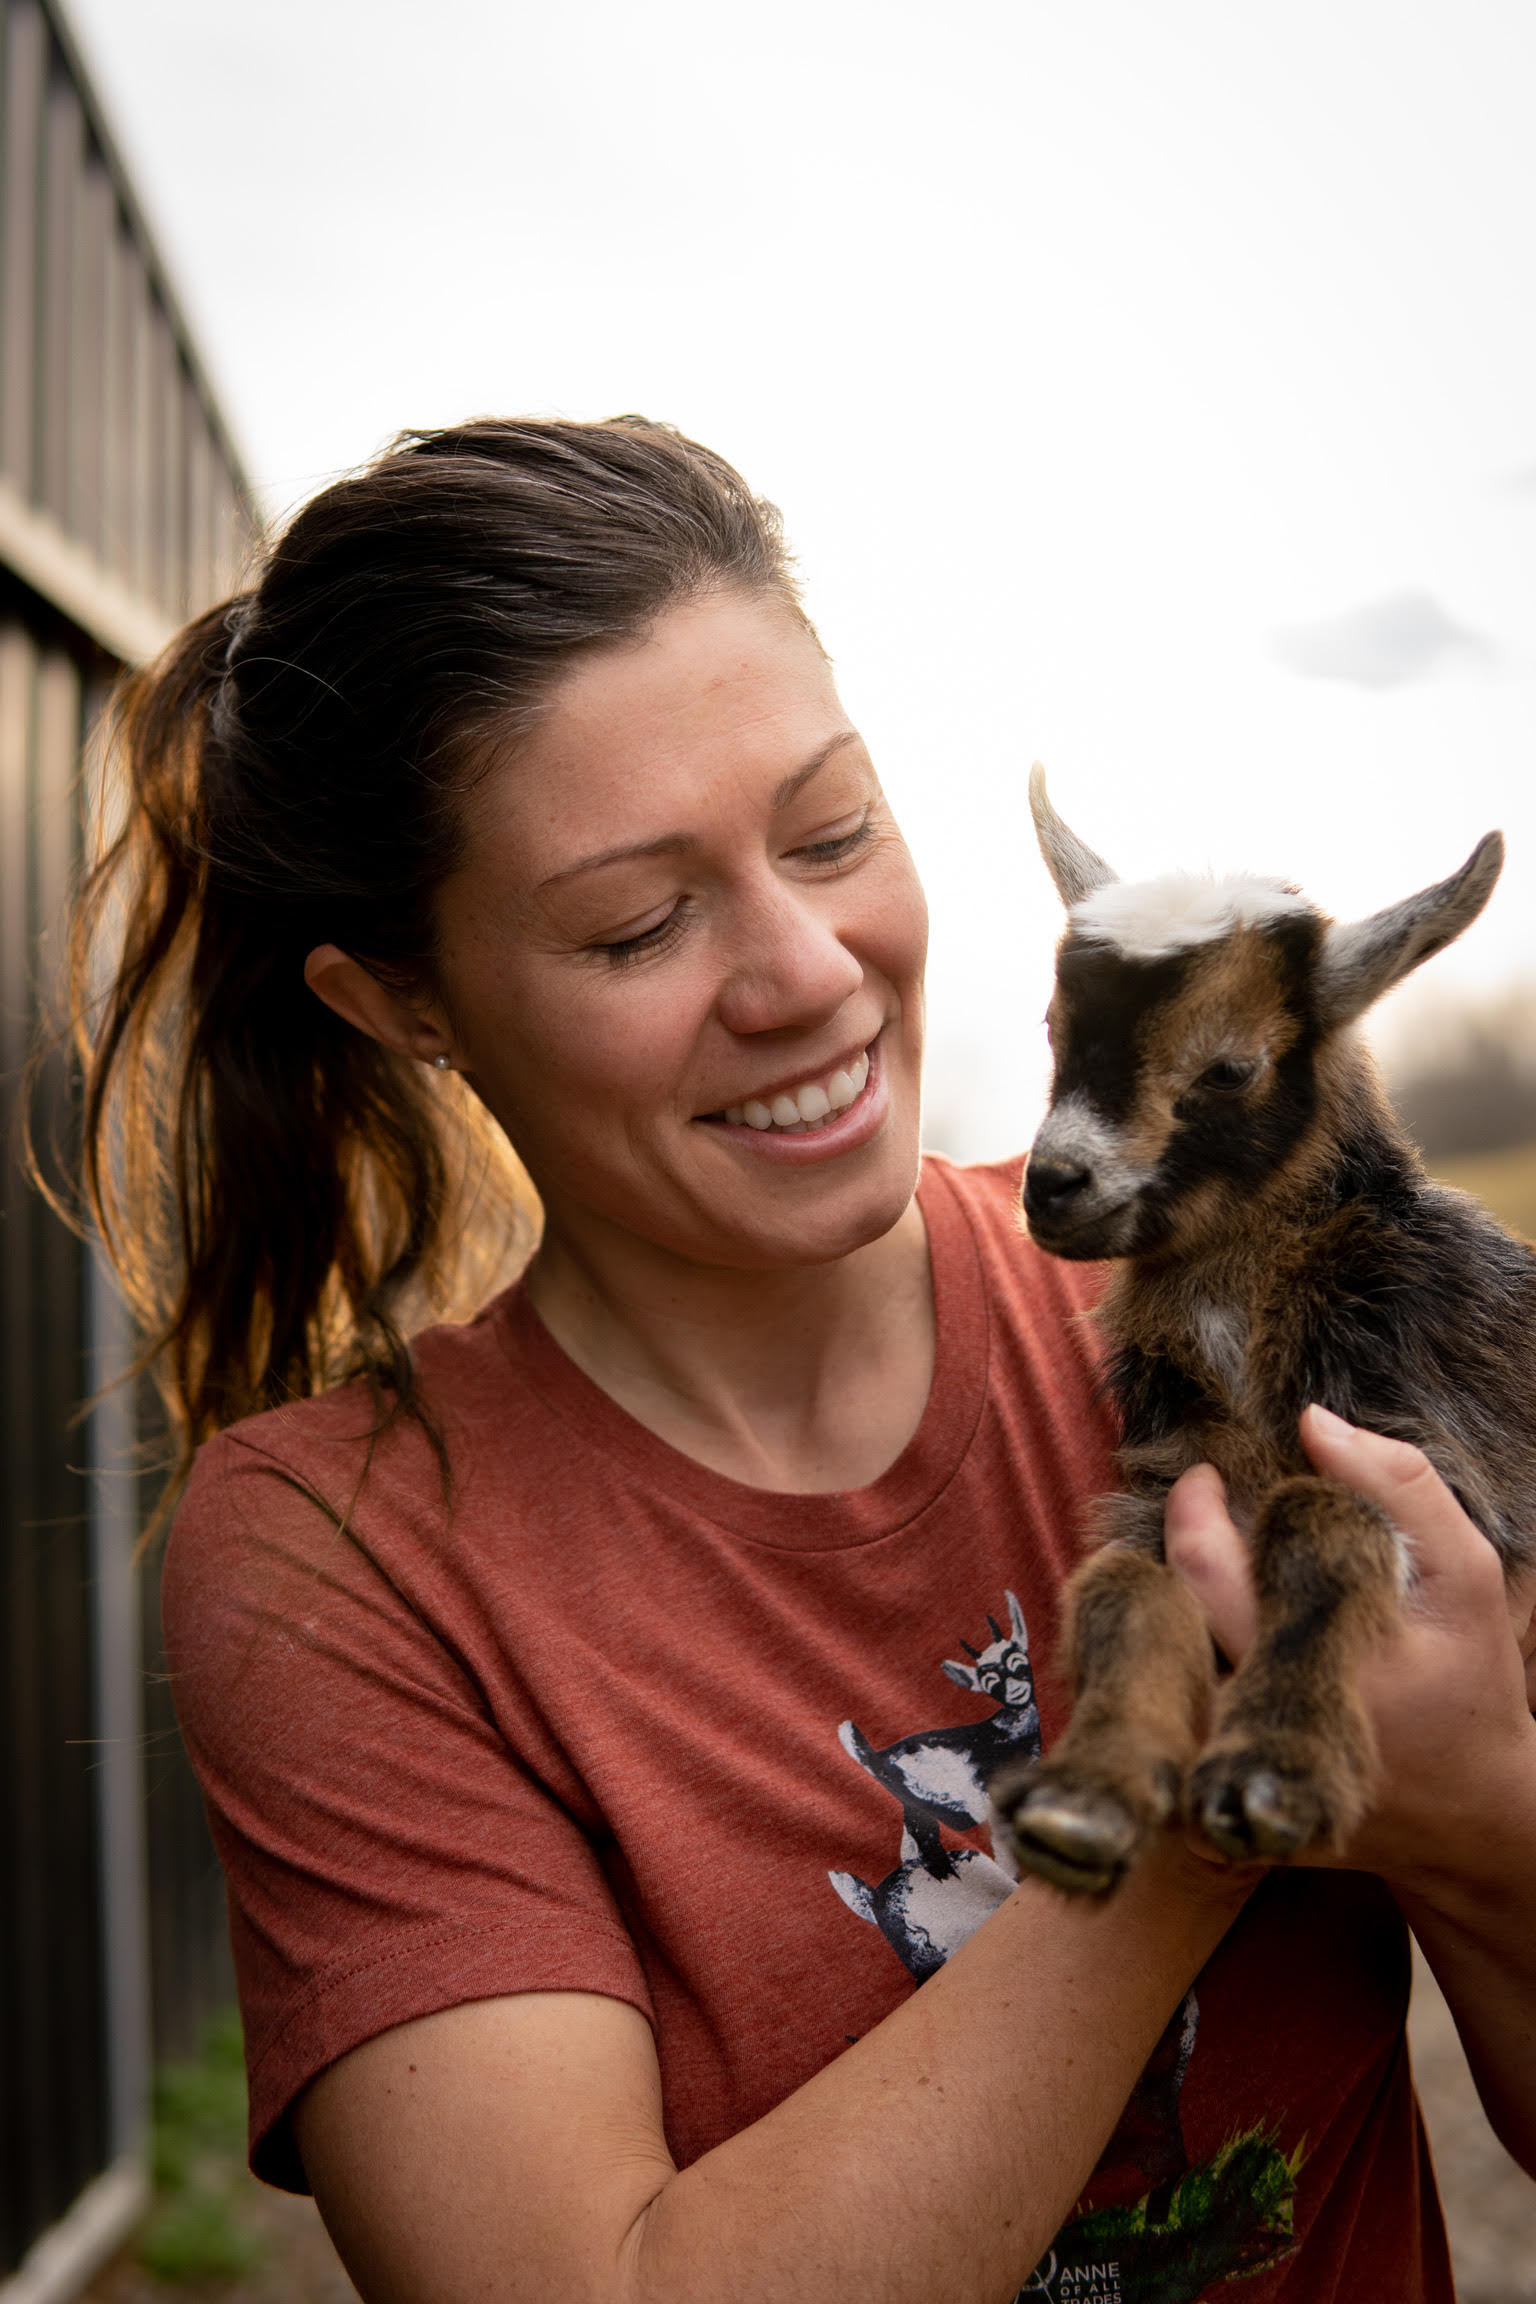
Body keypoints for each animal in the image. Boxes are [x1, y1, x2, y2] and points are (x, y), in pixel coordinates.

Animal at [989, 767, 1535, 1897]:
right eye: (1053, 1025)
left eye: (1230, 1068)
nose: (1053, 1184)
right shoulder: (1170, 1481)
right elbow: (1120, 1590)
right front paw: (1082, 1800)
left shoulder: (1449, 1471)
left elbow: (1319, 1526)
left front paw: (1276, 1770)